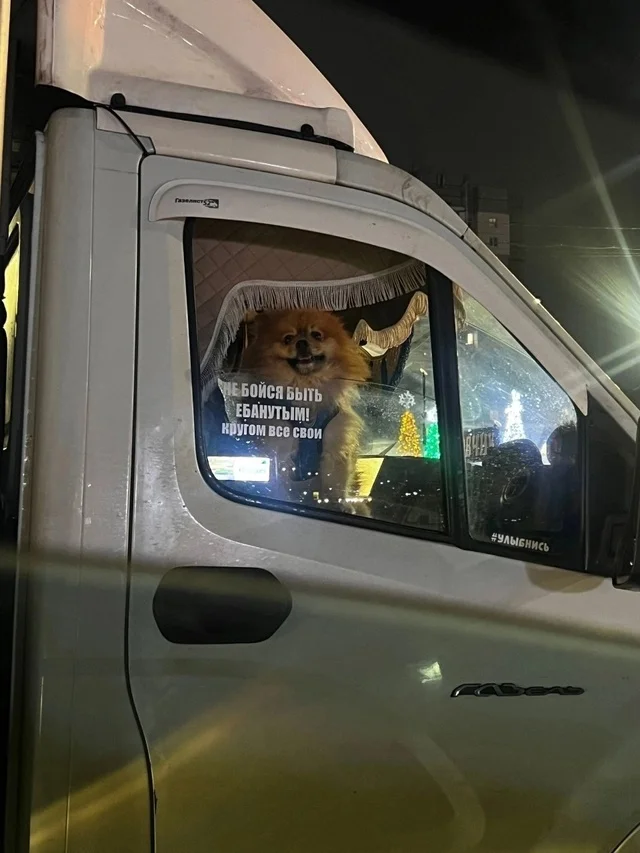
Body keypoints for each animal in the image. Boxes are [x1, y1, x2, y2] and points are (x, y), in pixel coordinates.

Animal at [239, 306, 370, 506]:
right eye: (288, 338)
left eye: (316, 335)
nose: (301, 343)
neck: (306, 387)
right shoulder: (280, 451)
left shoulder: (335, 446)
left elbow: (334, 486)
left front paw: (337, 504)